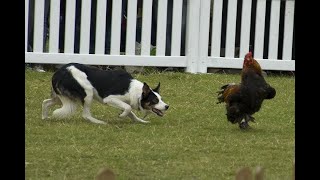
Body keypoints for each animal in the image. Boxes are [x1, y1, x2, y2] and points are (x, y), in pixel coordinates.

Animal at [42, 63, 170, 124]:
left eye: (161, 99)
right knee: (85, 115)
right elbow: (128, 108)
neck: (135, 92)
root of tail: (58, 72)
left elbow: (131, 112)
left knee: (45, 102)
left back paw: (45, 118)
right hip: (88, 93)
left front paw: (141, 121)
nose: (167, 106)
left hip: (62, 97)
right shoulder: (109, 99)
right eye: (155, 101)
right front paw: (121, 116)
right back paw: (100, 122)